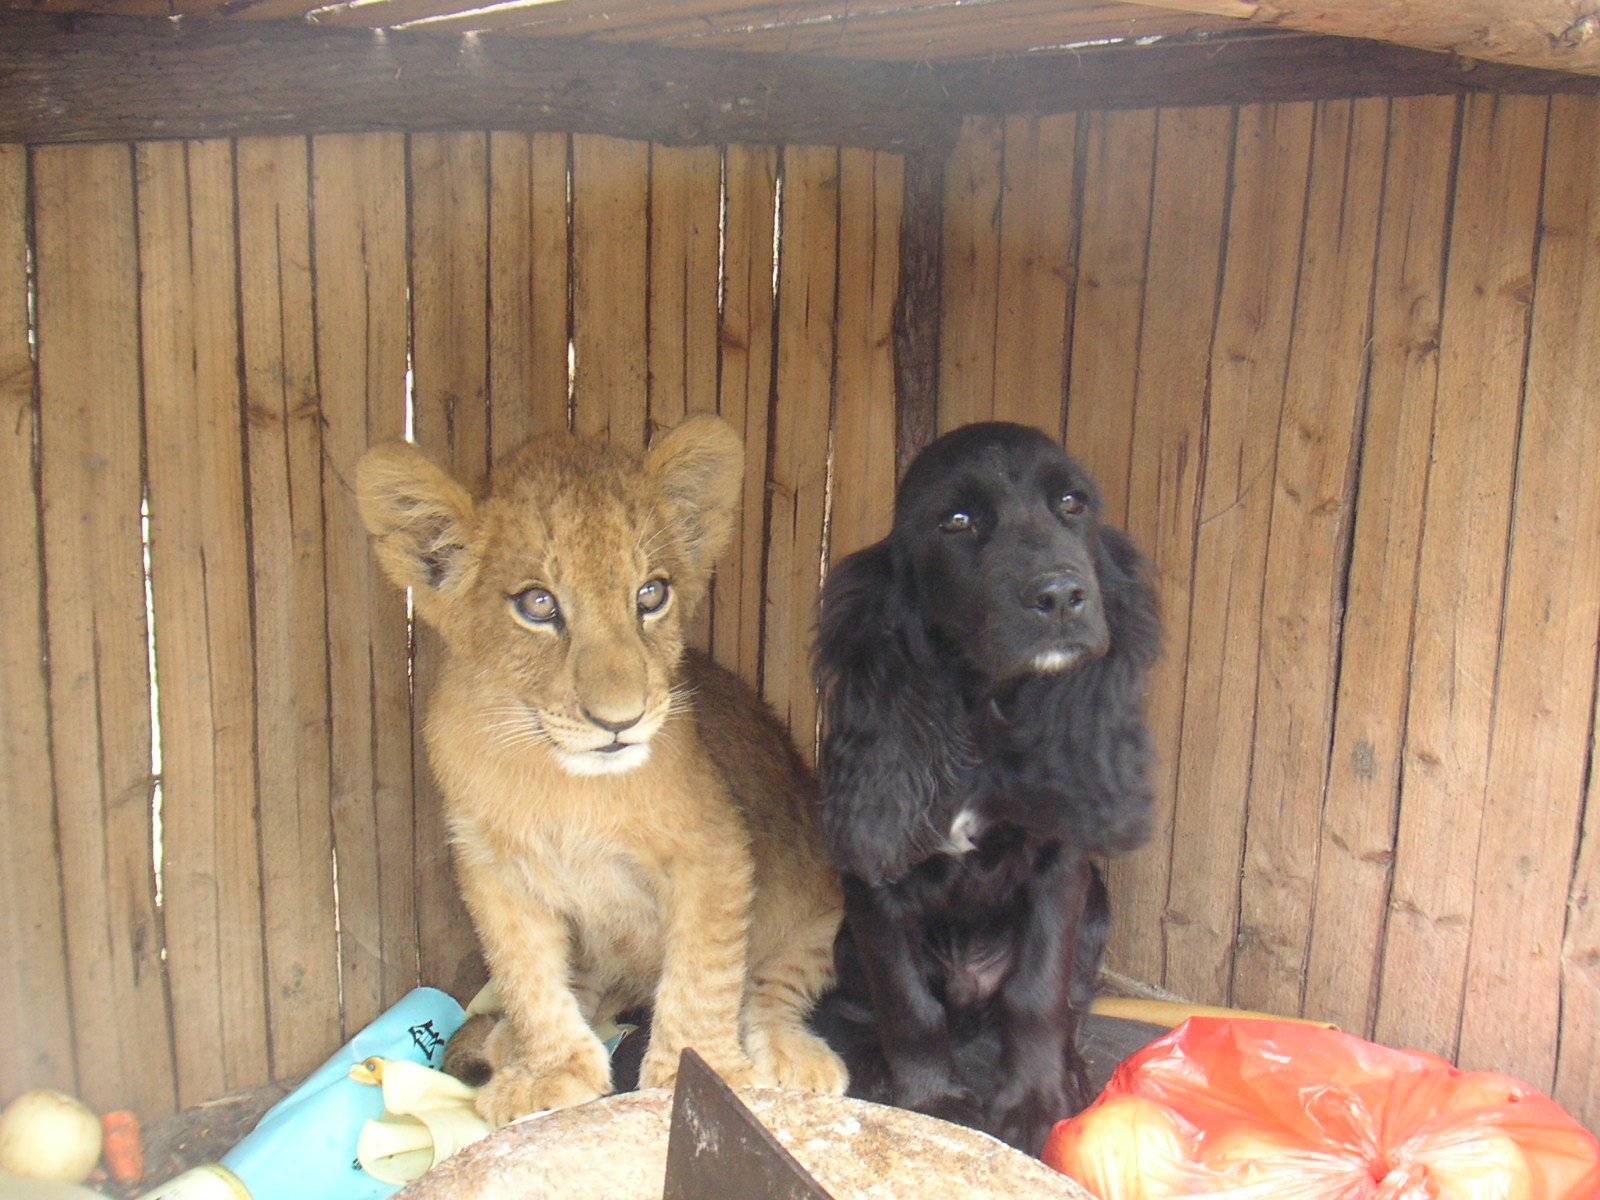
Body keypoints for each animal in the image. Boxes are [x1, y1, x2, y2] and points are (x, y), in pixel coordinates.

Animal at [819, 419, 1158, 1158]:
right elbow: (907, 1003)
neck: (982, 707)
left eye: (1072, 504)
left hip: (1099, 909)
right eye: (958, 521)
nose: (1060, 596)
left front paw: (1035, 1103)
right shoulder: (872, 879)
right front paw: (933, 1101)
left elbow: (1038, 992)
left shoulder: (1061, 865)